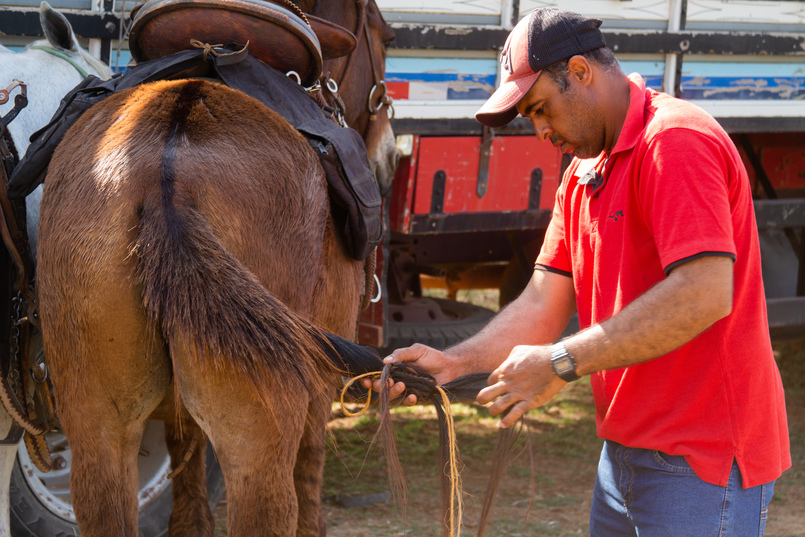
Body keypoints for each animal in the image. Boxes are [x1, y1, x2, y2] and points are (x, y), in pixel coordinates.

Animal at [33, 1, 396, 536]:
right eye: (384, 36)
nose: (389, 158)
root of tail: (164, 174)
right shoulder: (323, 385)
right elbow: (311, 469)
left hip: (97, 432)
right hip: (257, 444)